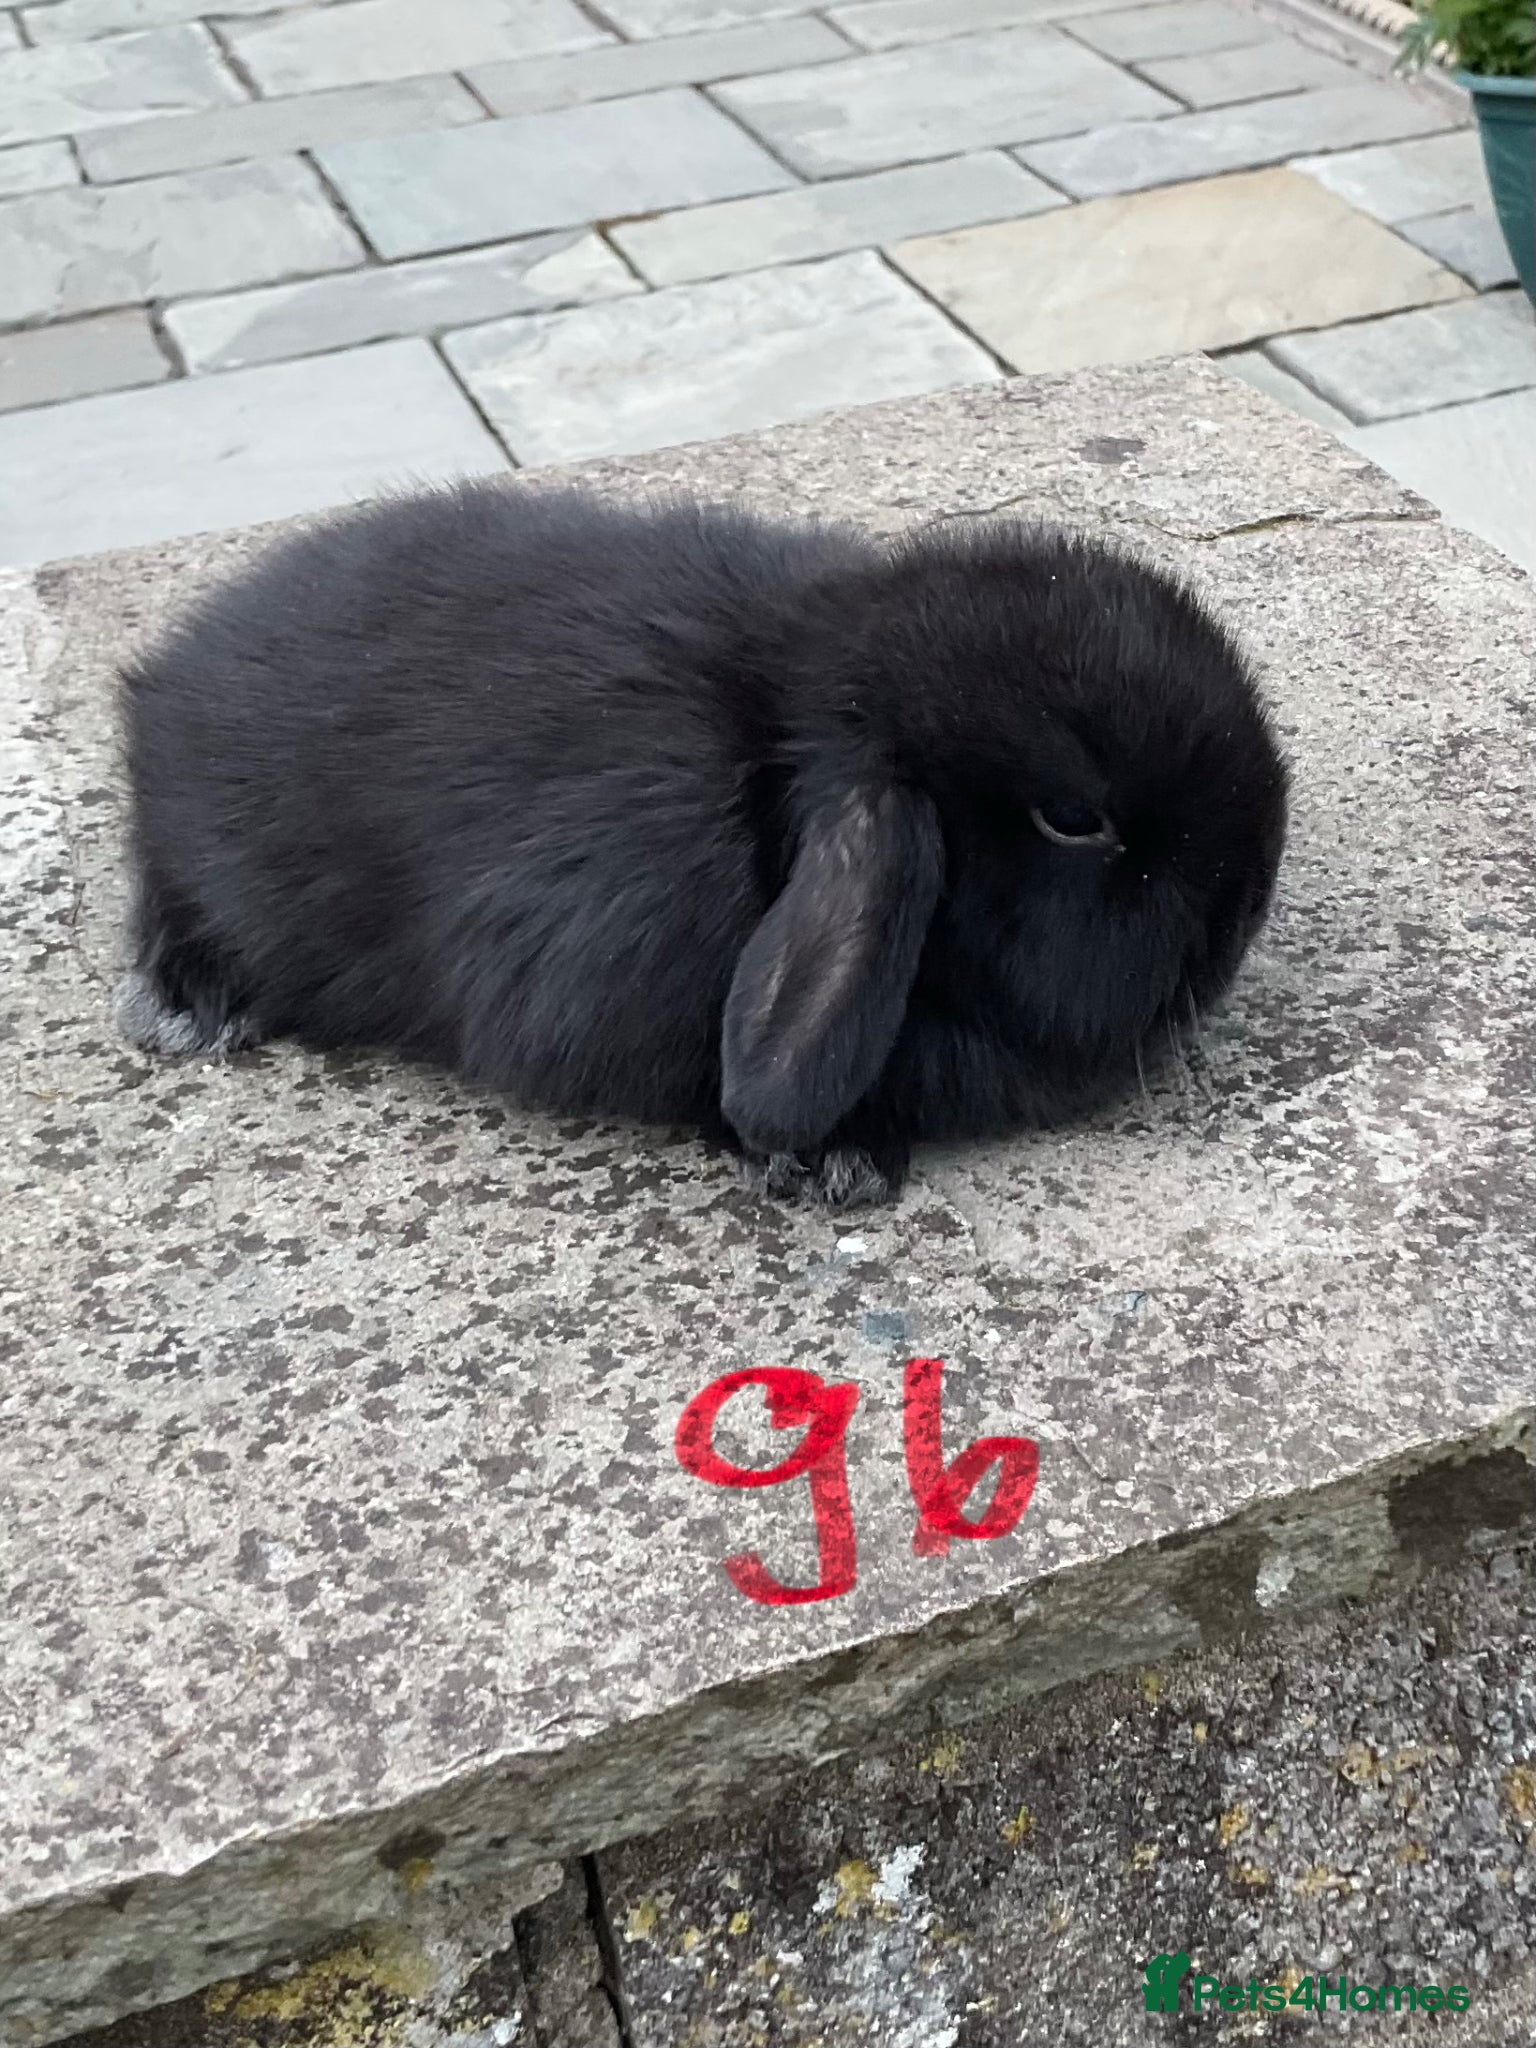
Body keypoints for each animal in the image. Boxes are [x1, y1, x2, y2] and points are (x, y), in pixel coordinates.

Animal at [115, 480, 1288, 1210]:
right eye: (1074, 819)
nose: (1249, 901)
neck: (784, 745)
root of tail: (169, 677)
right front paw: (833, 1161)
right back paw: (185, 1003)